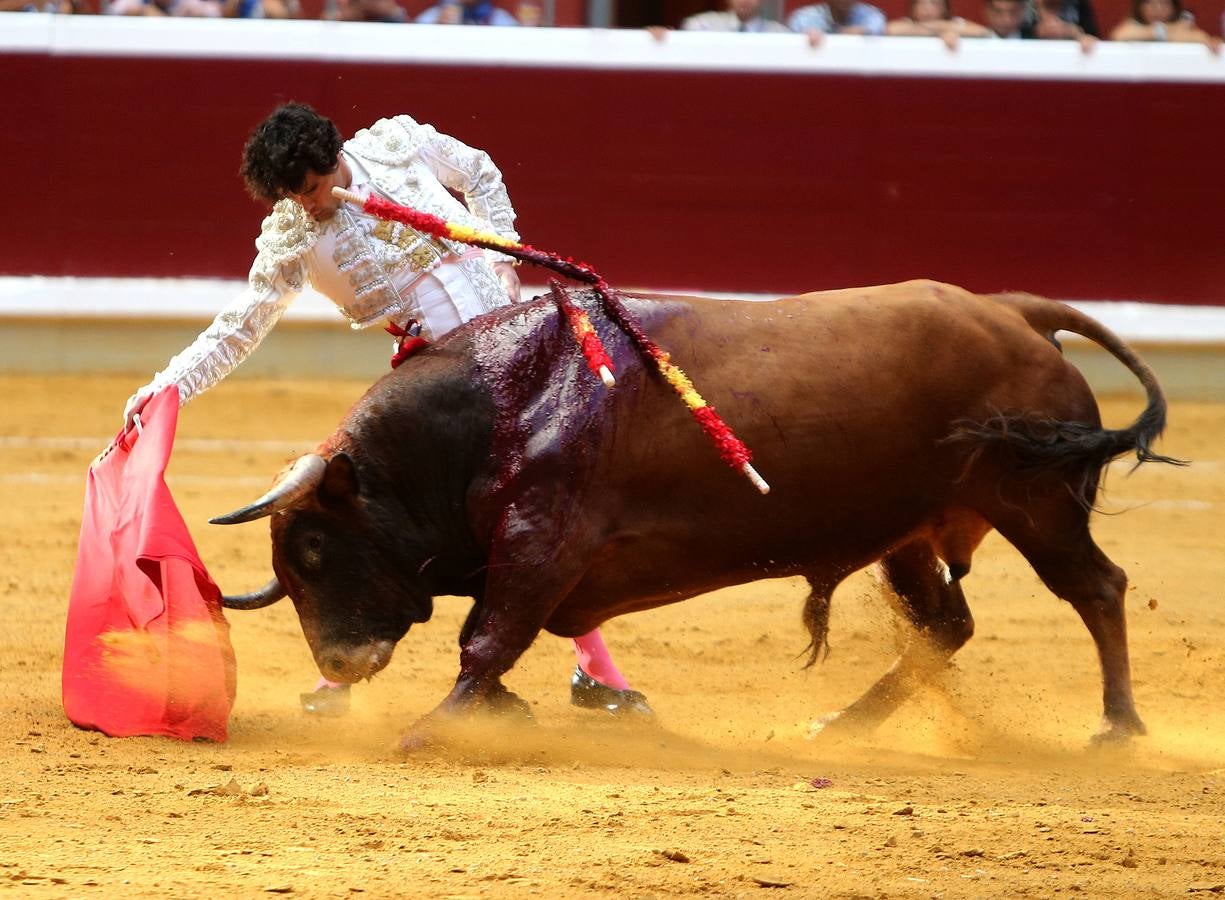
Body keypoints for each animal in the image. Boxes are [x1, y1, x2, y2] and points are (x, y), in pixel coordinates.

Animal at [215, 281, 1180, 744]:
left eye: (313, 546)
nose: (337, 664)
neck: (497, 407)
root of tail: (1012, 313)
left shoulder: (542, 540)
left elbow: (486, 639)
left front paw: (435, 730)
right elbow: (492, 639)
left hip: (1035, 502)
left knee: (1096, 587)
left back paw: (1117, 727)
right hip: (906, 529)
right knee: (944, 625)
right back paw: (838, 726)